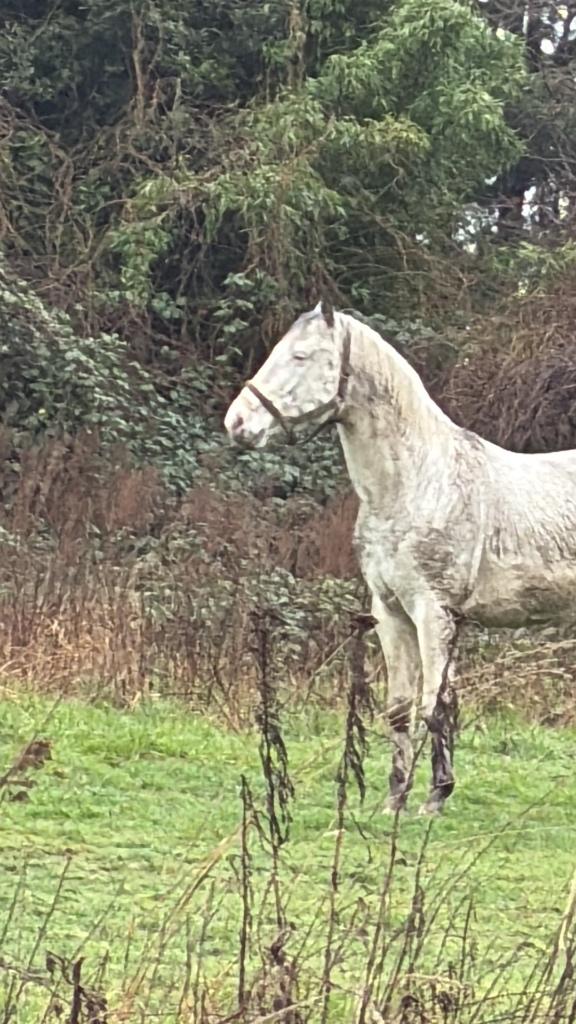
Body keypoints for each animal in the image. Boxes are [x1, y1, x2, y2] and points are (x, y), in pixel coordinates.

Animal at [224, 300, 576, 814]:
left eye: (301, 357)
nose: (237, 423)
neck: (417, 482)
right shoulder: (390, 612)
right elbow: (400, 709)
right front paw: (395, 799)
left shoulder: (433, 612)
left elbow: (435, 704)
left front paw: (435, 797)